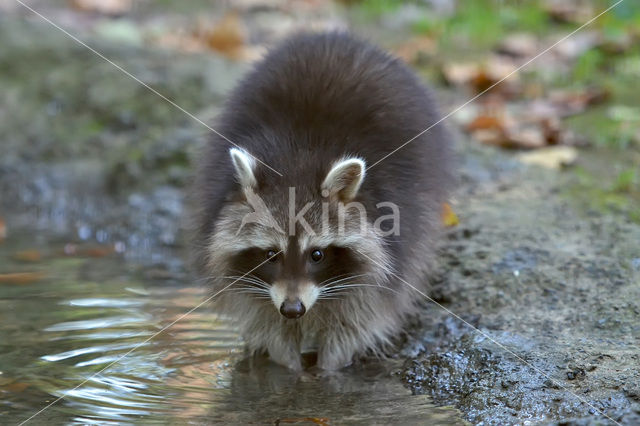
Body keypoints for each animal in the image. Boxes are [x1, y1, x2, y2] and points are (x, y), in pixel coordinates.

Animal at [192, 31, 452, 372]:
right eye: (270, 254)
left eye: (317, 254)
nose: (292, 309)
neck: (297, 160)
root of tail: (334, 36)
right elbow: (268, 324)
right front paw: (288, 368)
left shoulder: (389, 251)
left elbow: (355, 323)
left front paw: (328, 370)